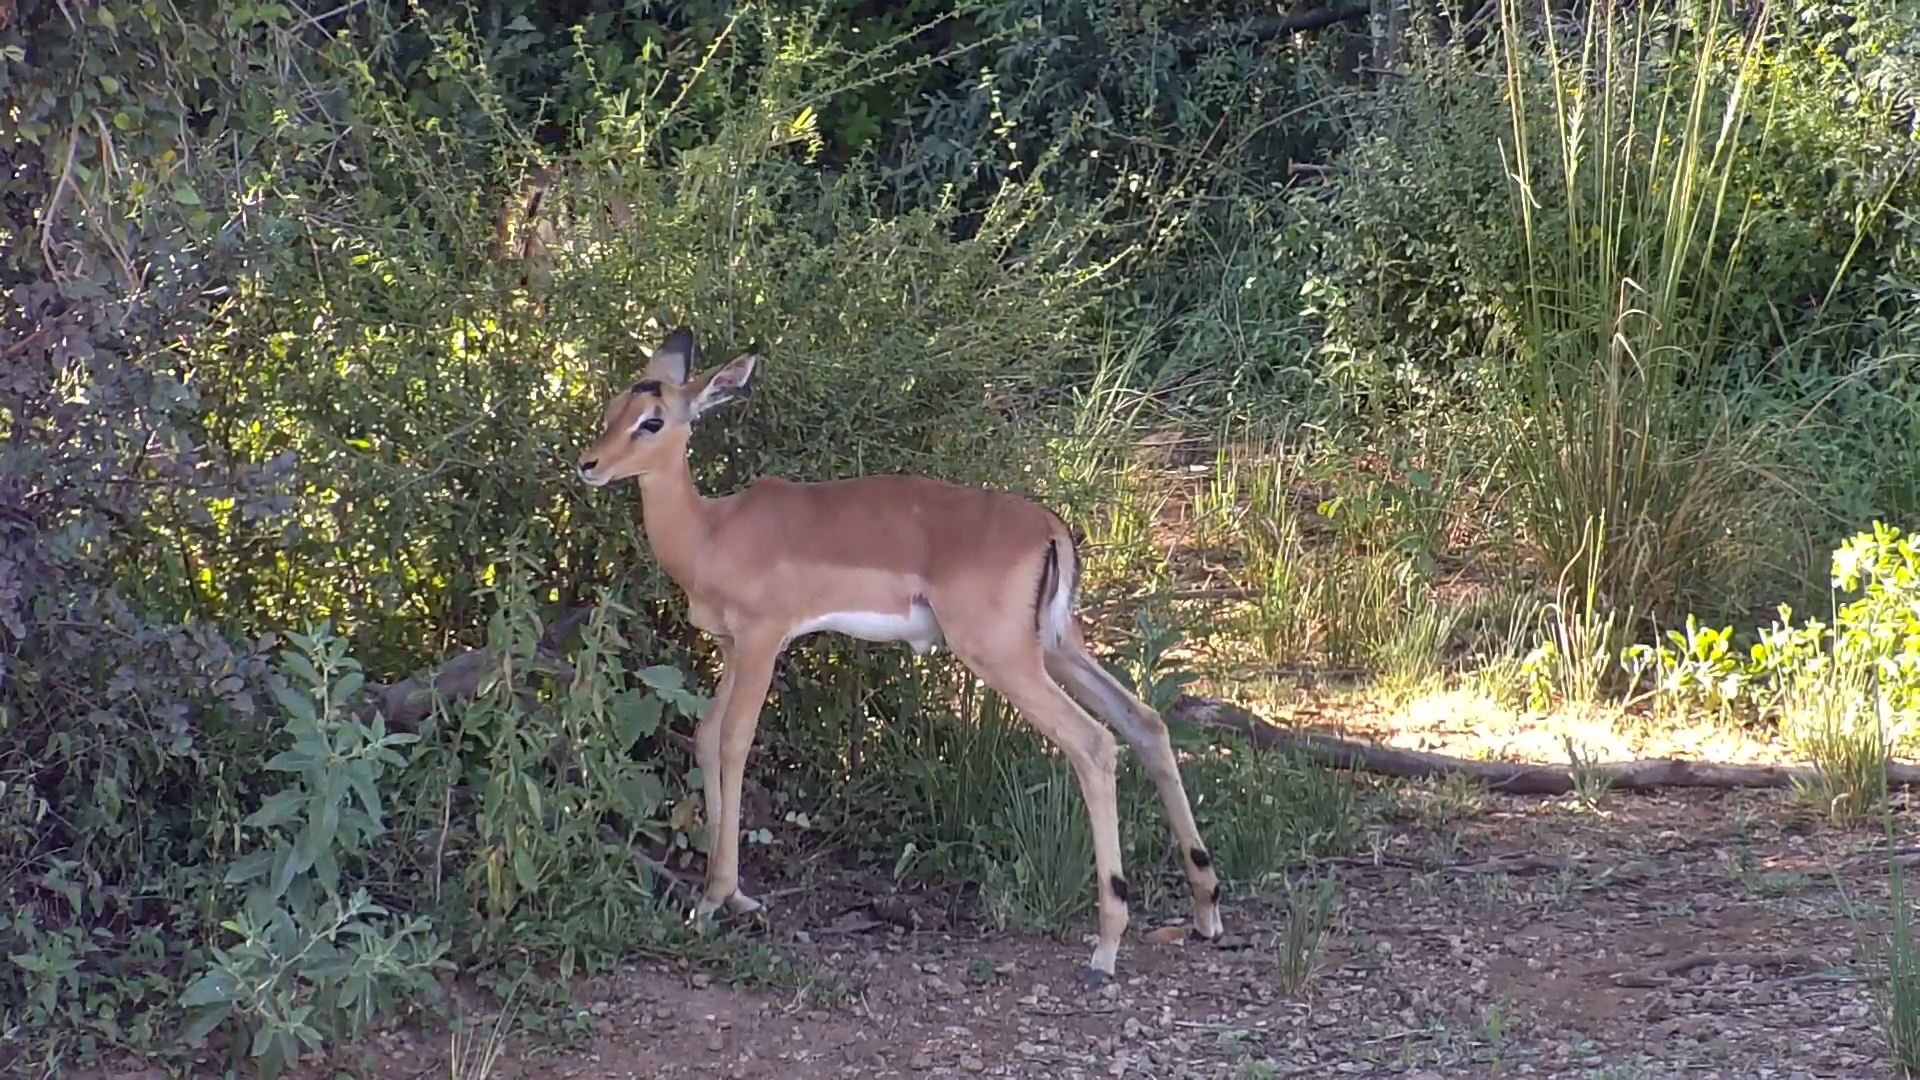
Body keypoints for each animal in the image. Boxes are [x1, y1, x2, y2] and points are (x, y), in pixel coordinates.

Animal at [574, 327, 1223, 980]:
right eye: (611, 408)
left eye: (653, 420)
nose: (588, 465)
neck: (712, 532)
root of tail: (1050, 527)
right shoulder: (733, 648)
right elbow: (707, 739)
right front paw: (722, 897)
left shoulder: (762, 640)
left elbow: (734, 742)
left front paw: (719, 896)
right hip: (1059, 649)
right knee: (1144, 722)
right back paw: (1205, 908)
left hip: (1005, 659)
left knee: (1093, 742)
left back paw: (1107, 944)